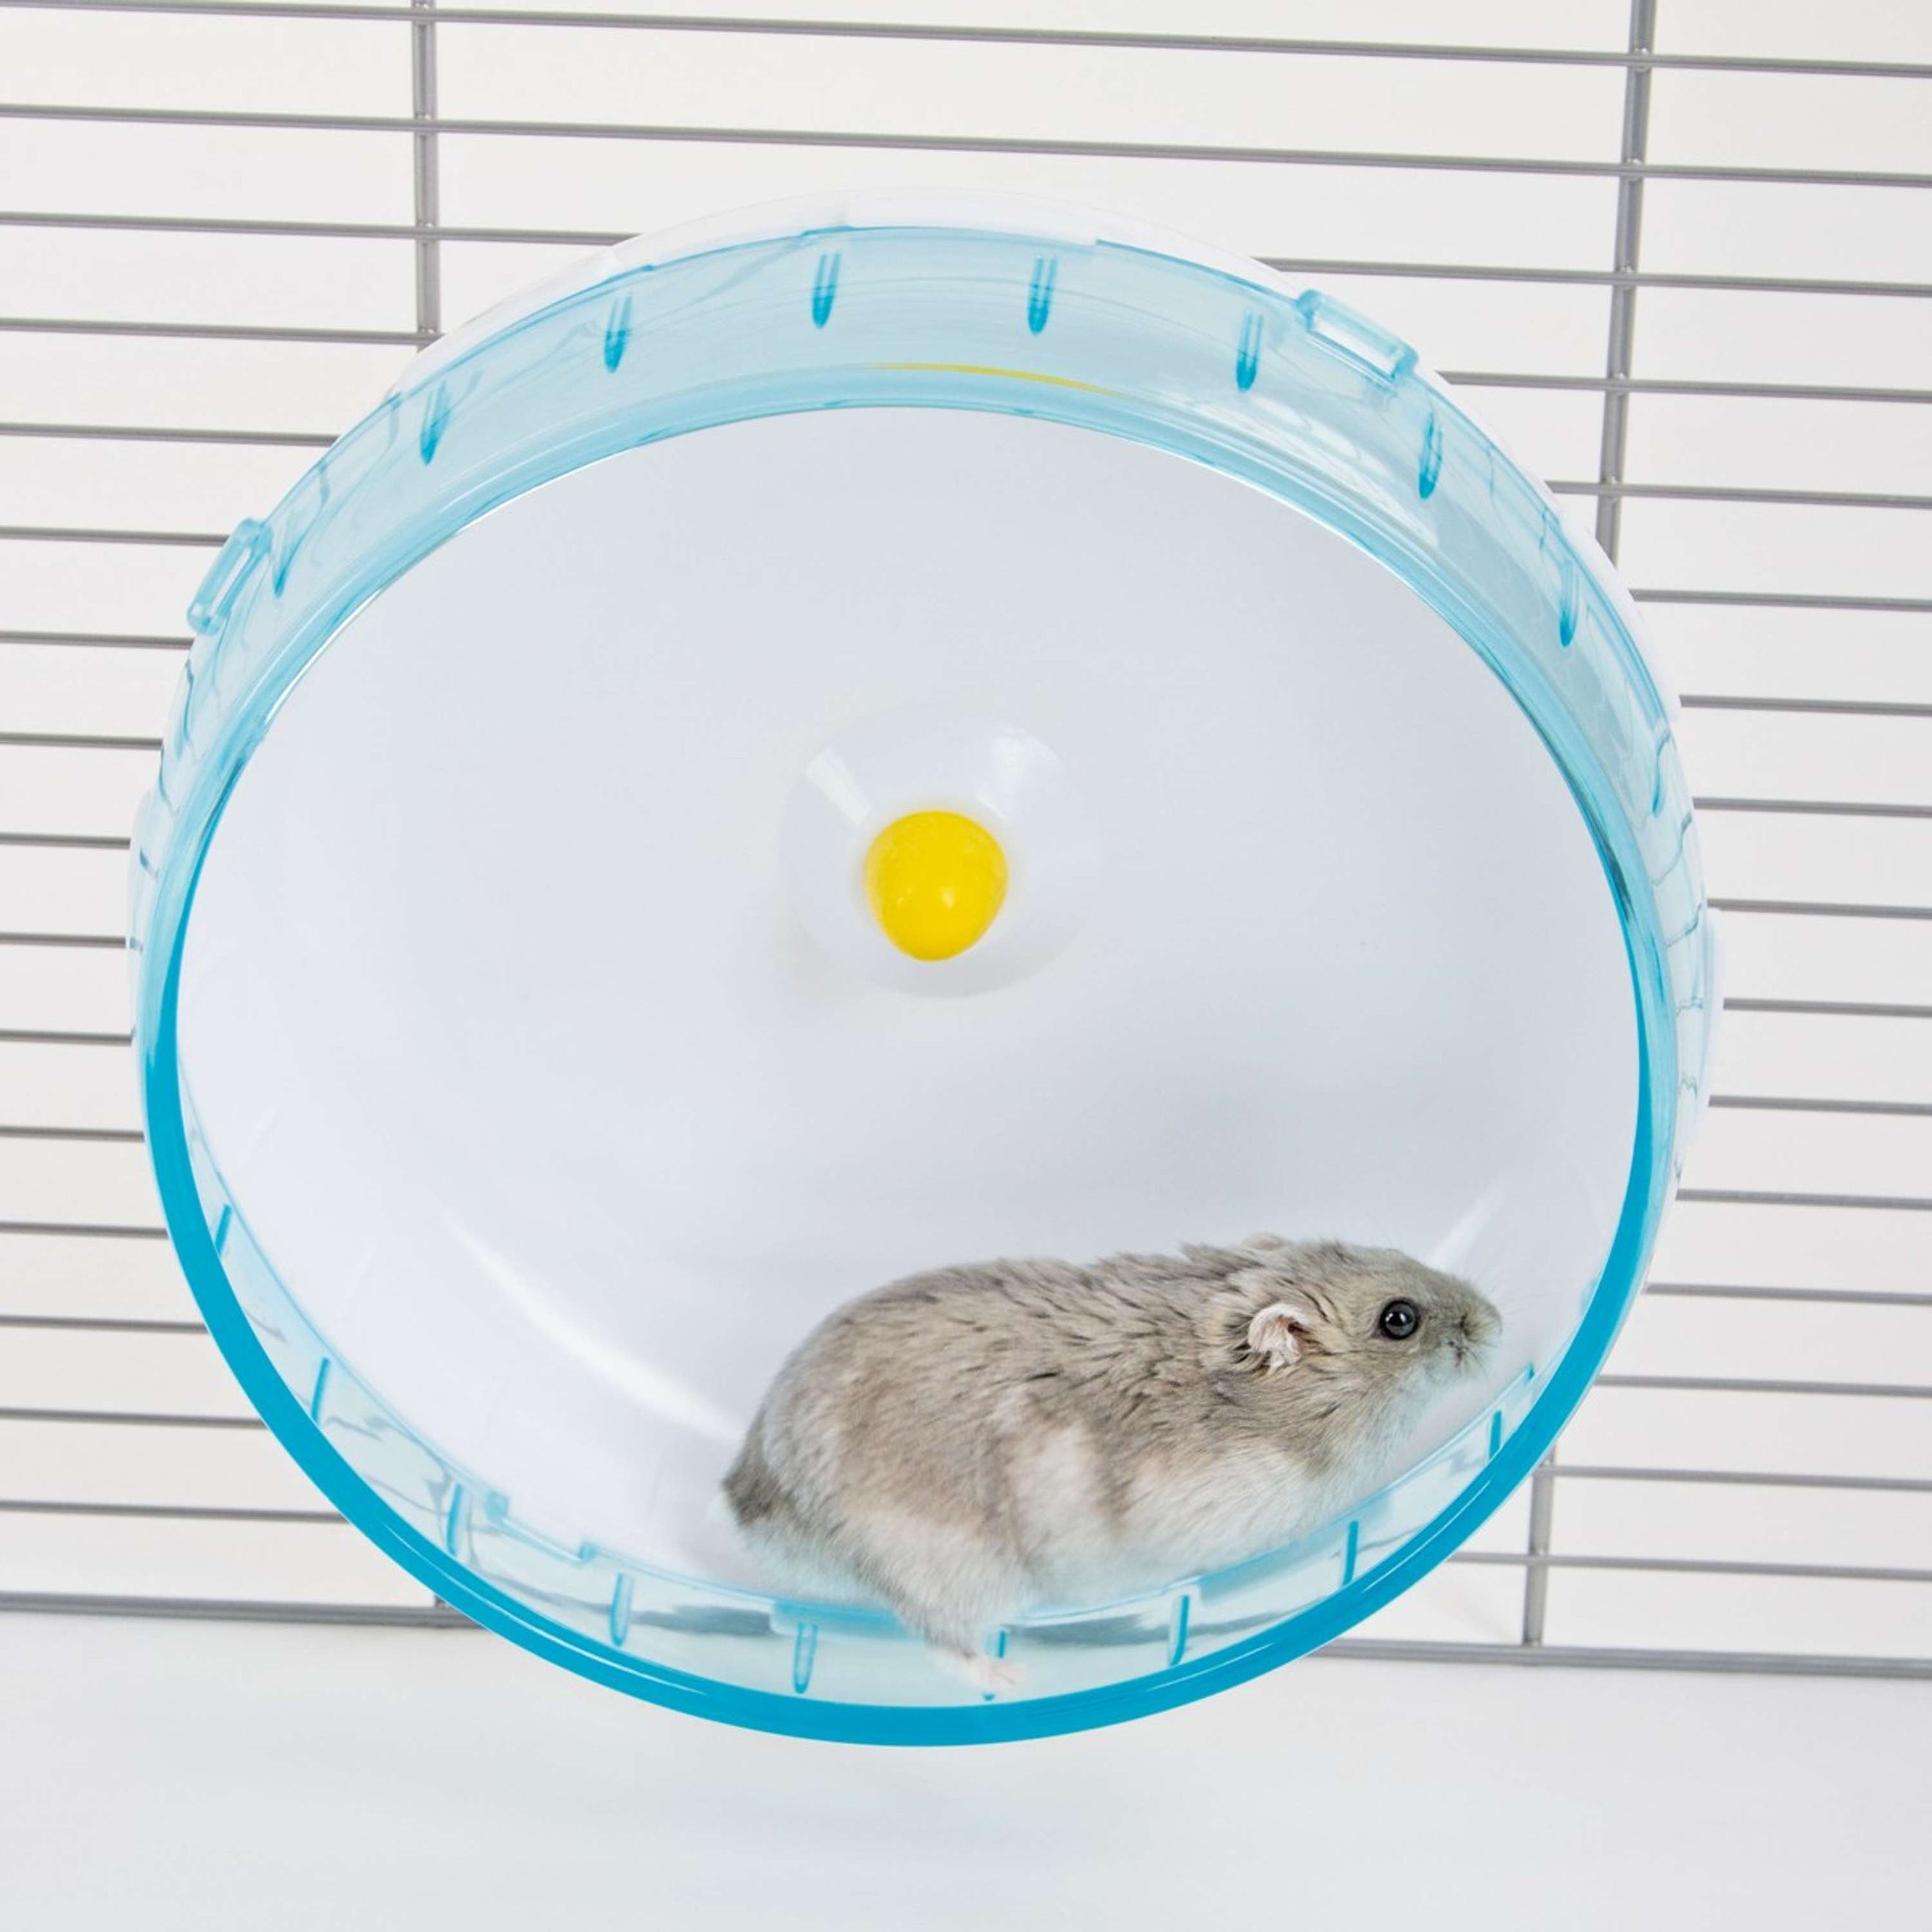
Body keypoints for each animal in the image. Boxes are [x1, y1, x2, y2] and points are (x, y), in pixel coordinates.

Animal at [724, 1235, 1501, 1691]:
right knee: (942, 1641)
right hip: (942, 1569)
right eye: (1399, 1319)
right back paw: (1012, 1676)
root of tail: (751, 1496)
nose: (1495, 1322)